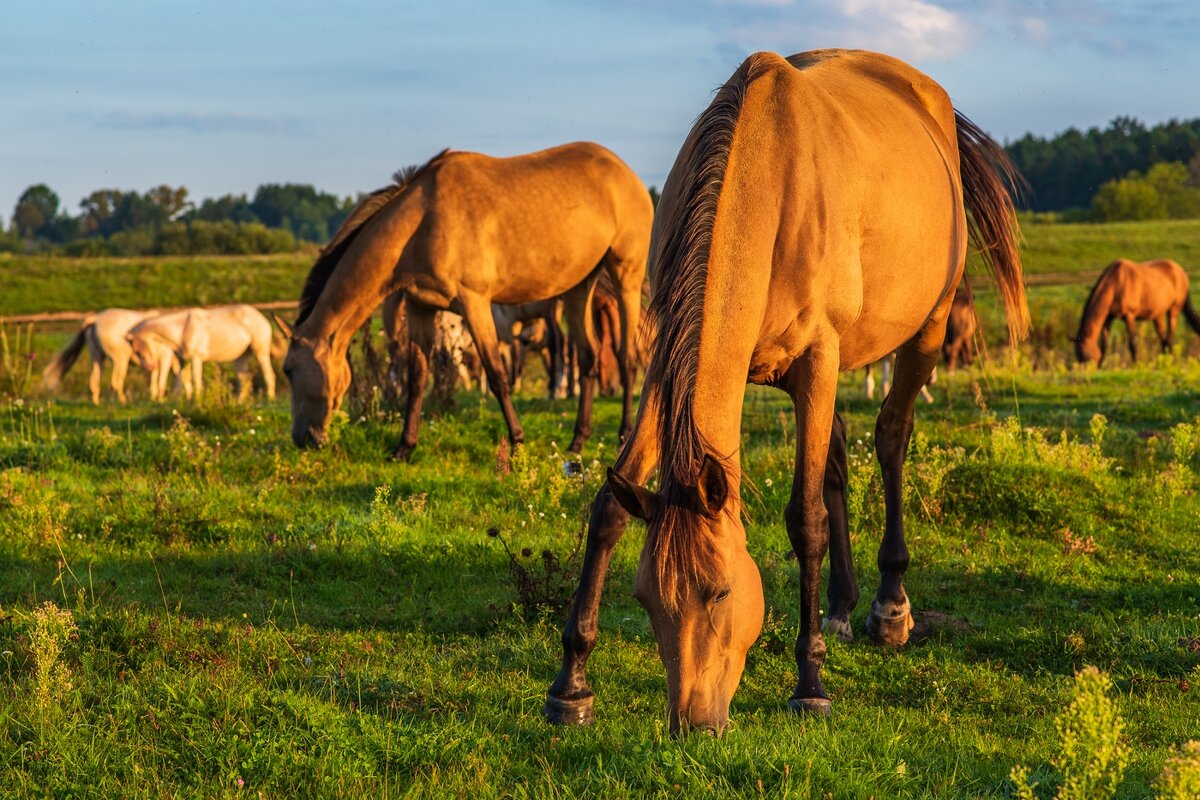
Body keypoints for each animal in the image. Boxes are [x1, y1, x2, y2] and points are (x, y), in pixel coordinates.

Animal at [43, 309, 178, 402]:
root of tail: (95, 319)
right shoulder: (165, 358)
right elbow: (161, 381)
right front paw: (161, 400)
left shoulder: (154, 362)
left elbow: (153, 380)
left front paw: (154, 398)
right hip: (121, 358)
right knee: (116, 382)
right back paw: (122, 401)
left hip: (97, 356)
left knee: (94, 381)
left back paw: (97, 403)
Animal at [276, 143, 652, 455]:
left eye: (289, 370)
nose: (302, 439)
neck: (422, 221)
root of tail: (628, 175)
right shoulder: (420, 307)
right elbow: (417, 378)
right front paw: (404, 447)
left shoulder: (475, 304)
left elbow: (497, 375)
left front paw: (517, 442)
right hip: (579, 288)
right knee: (588, 358)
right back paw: (577, 442)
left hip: (626, 278)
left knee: (626, 356)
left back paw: (623, 436)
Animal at [549, 48, 1027, 738]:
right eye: (643, 597)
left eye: (721, 591)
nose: (693, 723)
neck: (764, 184)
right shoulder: (668, 368)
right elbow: (611, 505)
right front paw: (571, 684)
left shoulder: (819, 362)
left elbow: (806, 520)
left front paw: (811, 685)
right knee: (839, 456)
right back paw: (841, 606)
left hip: (927, 332)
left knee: (891, 437)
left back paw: (888, 607)